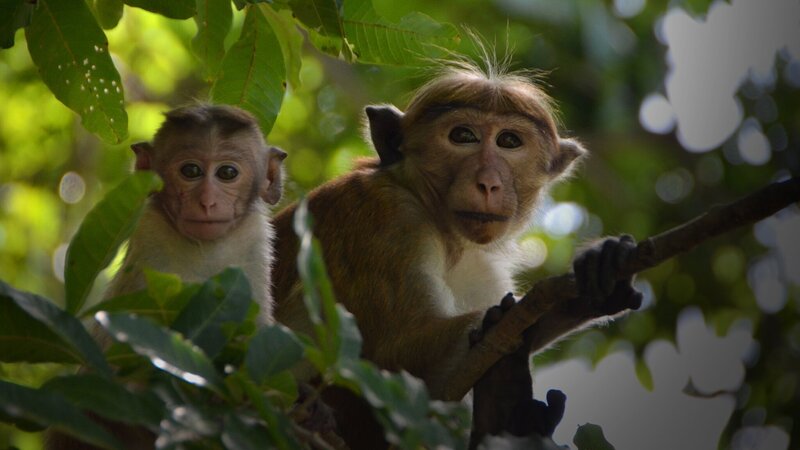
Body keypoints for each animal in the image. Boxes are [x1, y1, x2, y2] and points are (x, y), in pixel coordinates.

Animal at [270, 61, 642, 447]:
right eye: (463, 136)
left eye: (509, 141)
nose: (488, 183)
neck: (441, 228)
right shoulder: (383, 220)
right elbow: (393, 361)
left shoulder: (481, 264)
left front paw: (595, 282)